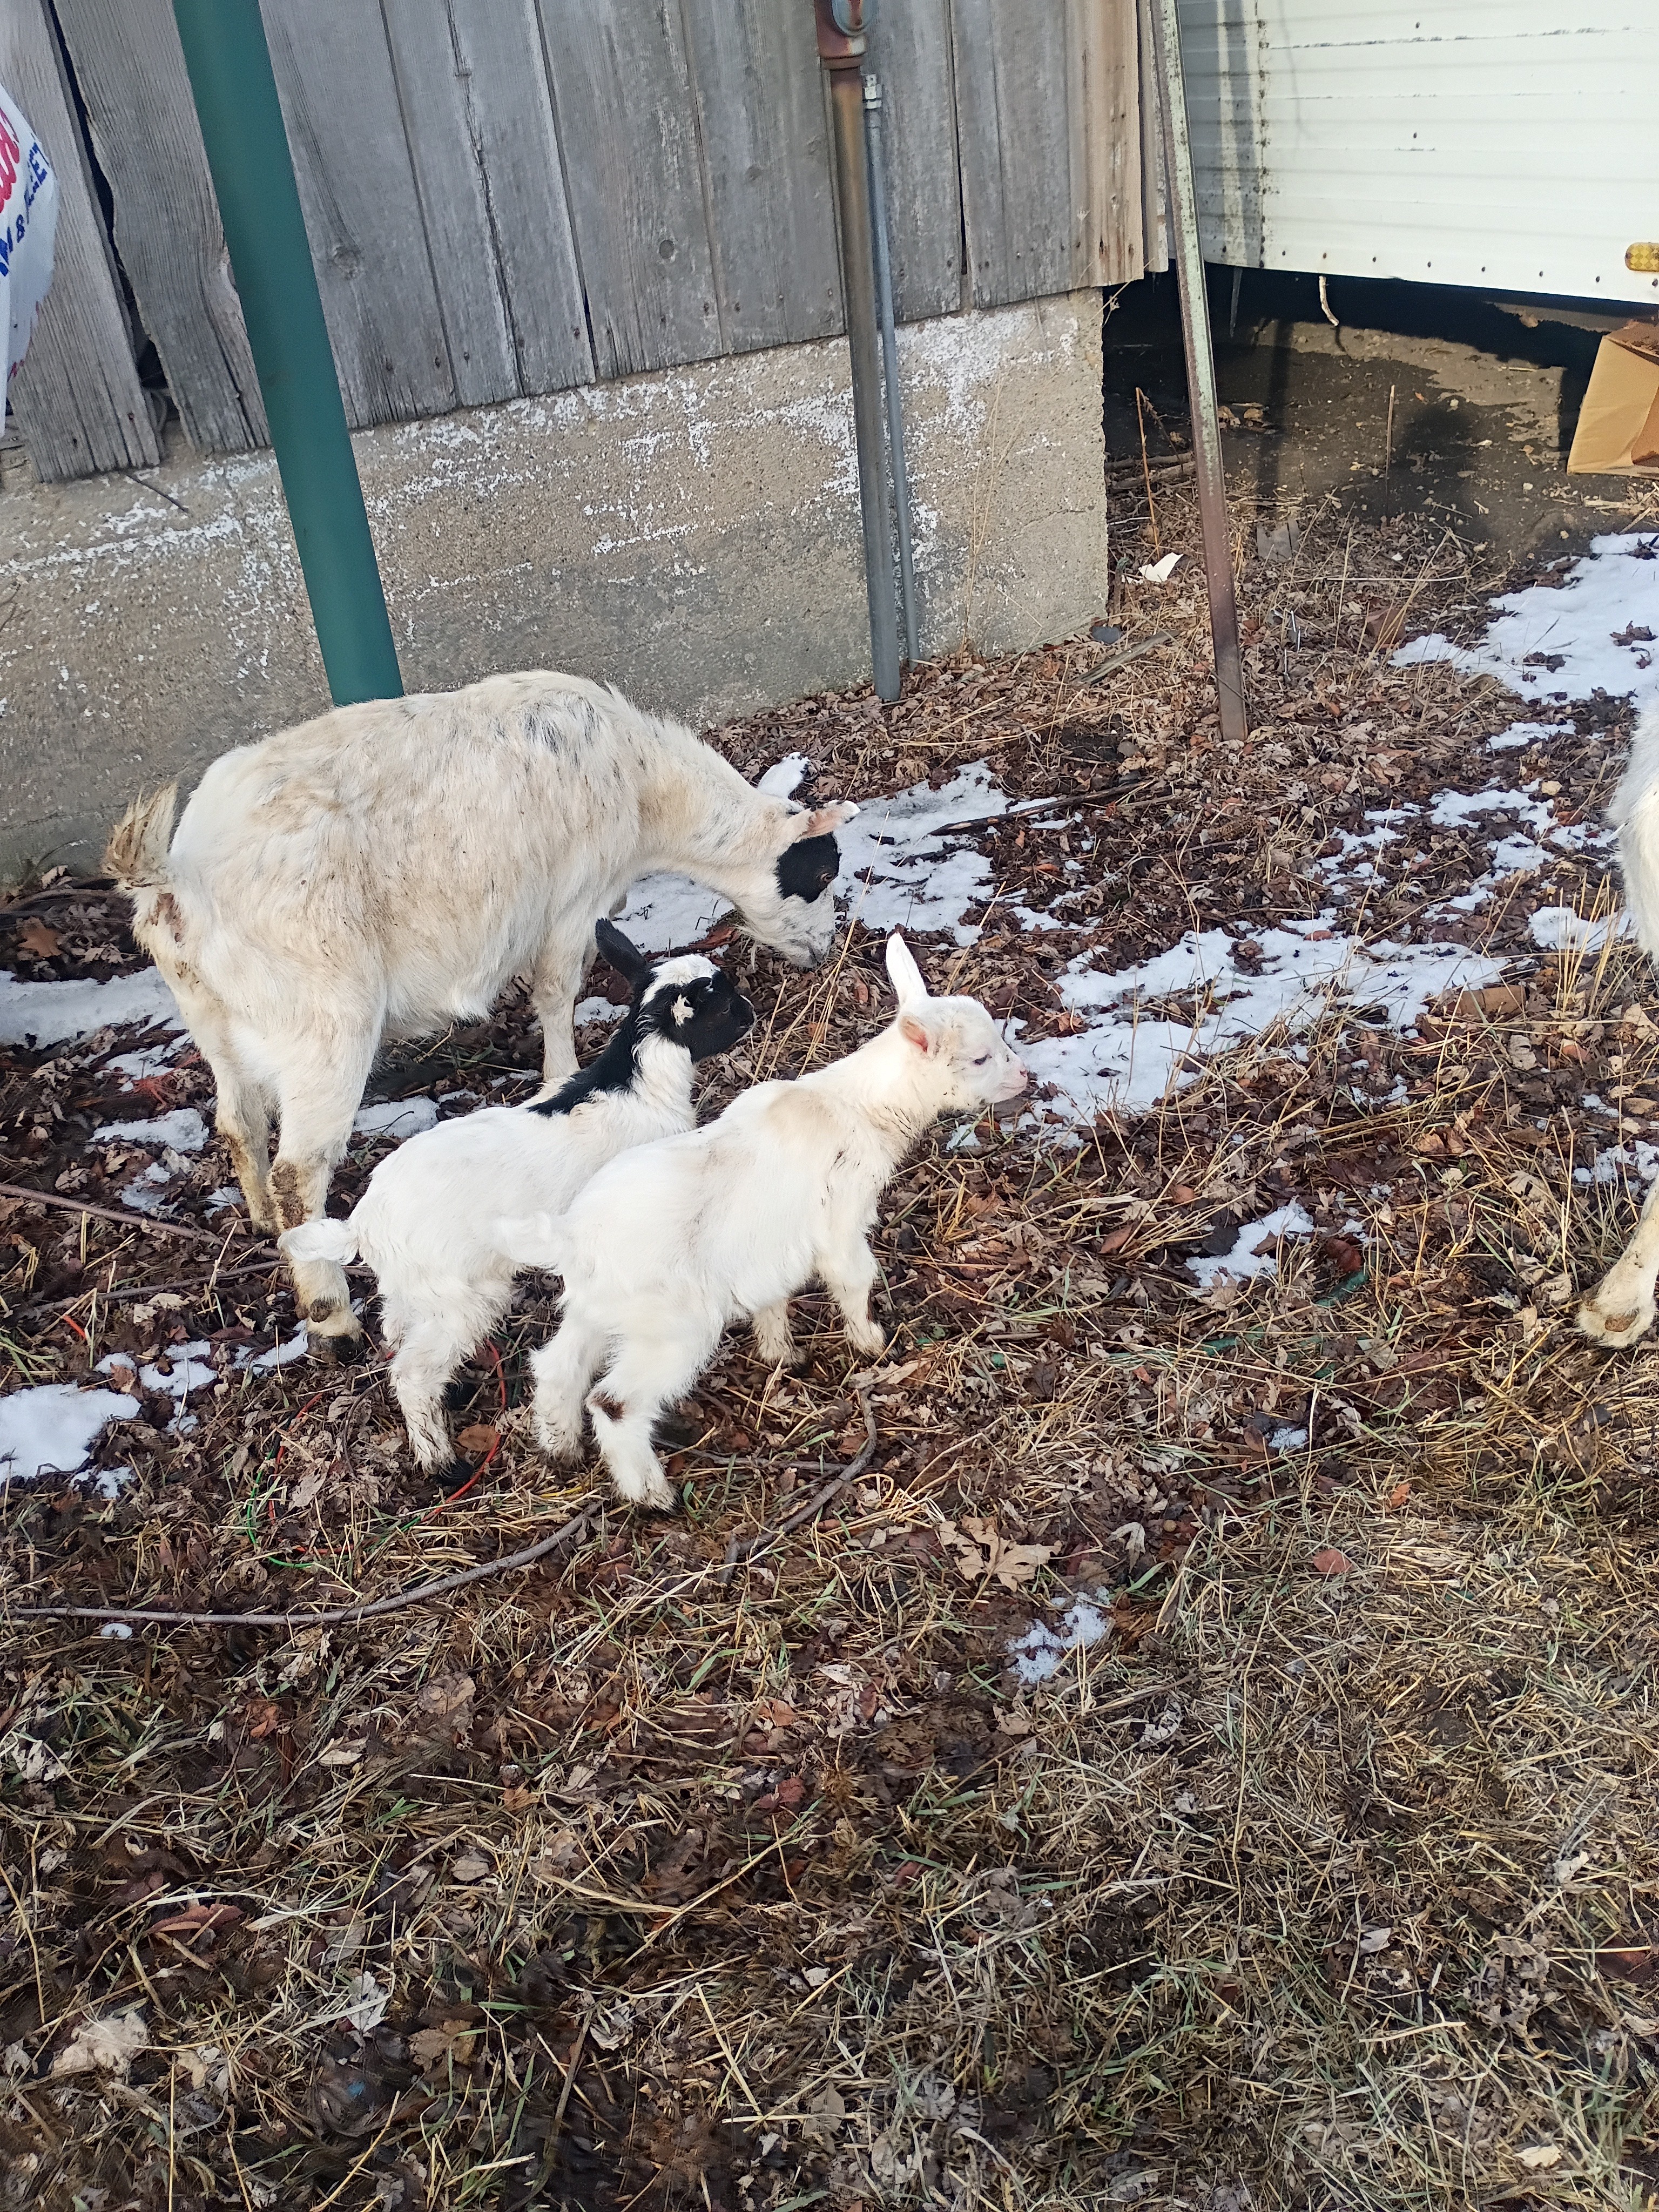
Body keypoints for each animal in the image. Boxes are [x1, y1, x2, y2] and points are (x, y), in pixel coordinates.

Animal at [105, 670, 855, 1358]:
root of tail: (178, 883)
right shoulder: (573, 902)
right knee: (301, 1171)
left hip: (214, 1015)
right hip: (323, 1017)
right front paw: (561, 1075)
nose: (821, 952)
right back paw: (330, 1314)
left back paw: (262, 1220)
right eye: (820, 873)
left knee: (238, 1120)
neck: (642, 785)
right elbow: (555, 993)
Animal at [276, 920, 754, 1485]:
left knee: (397, 1329)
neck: (635, 1087)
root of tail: (363, 1224)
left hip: (415, 1286)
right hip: (460, 1294)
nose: (750, 1013)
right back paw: (441, 1462)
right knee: (412, 1371)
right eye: (723, 1004)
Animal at [497, 933, 1027, 1511]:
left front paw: (781, 1352)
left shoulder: (769, 1248)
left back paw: (560, 1449)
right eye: (979, 1058)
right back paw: (652, 1495)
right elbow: (854, 1279)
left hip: (598, 1309)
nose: (1024, 1075)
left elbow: (774, 1294)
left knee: (557, 1367)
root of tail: (572, 1240)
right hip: (672, 1327)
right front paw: (871, 1343)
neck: (855, 1106)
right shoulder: (842, 1221)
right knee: (614, 1403)